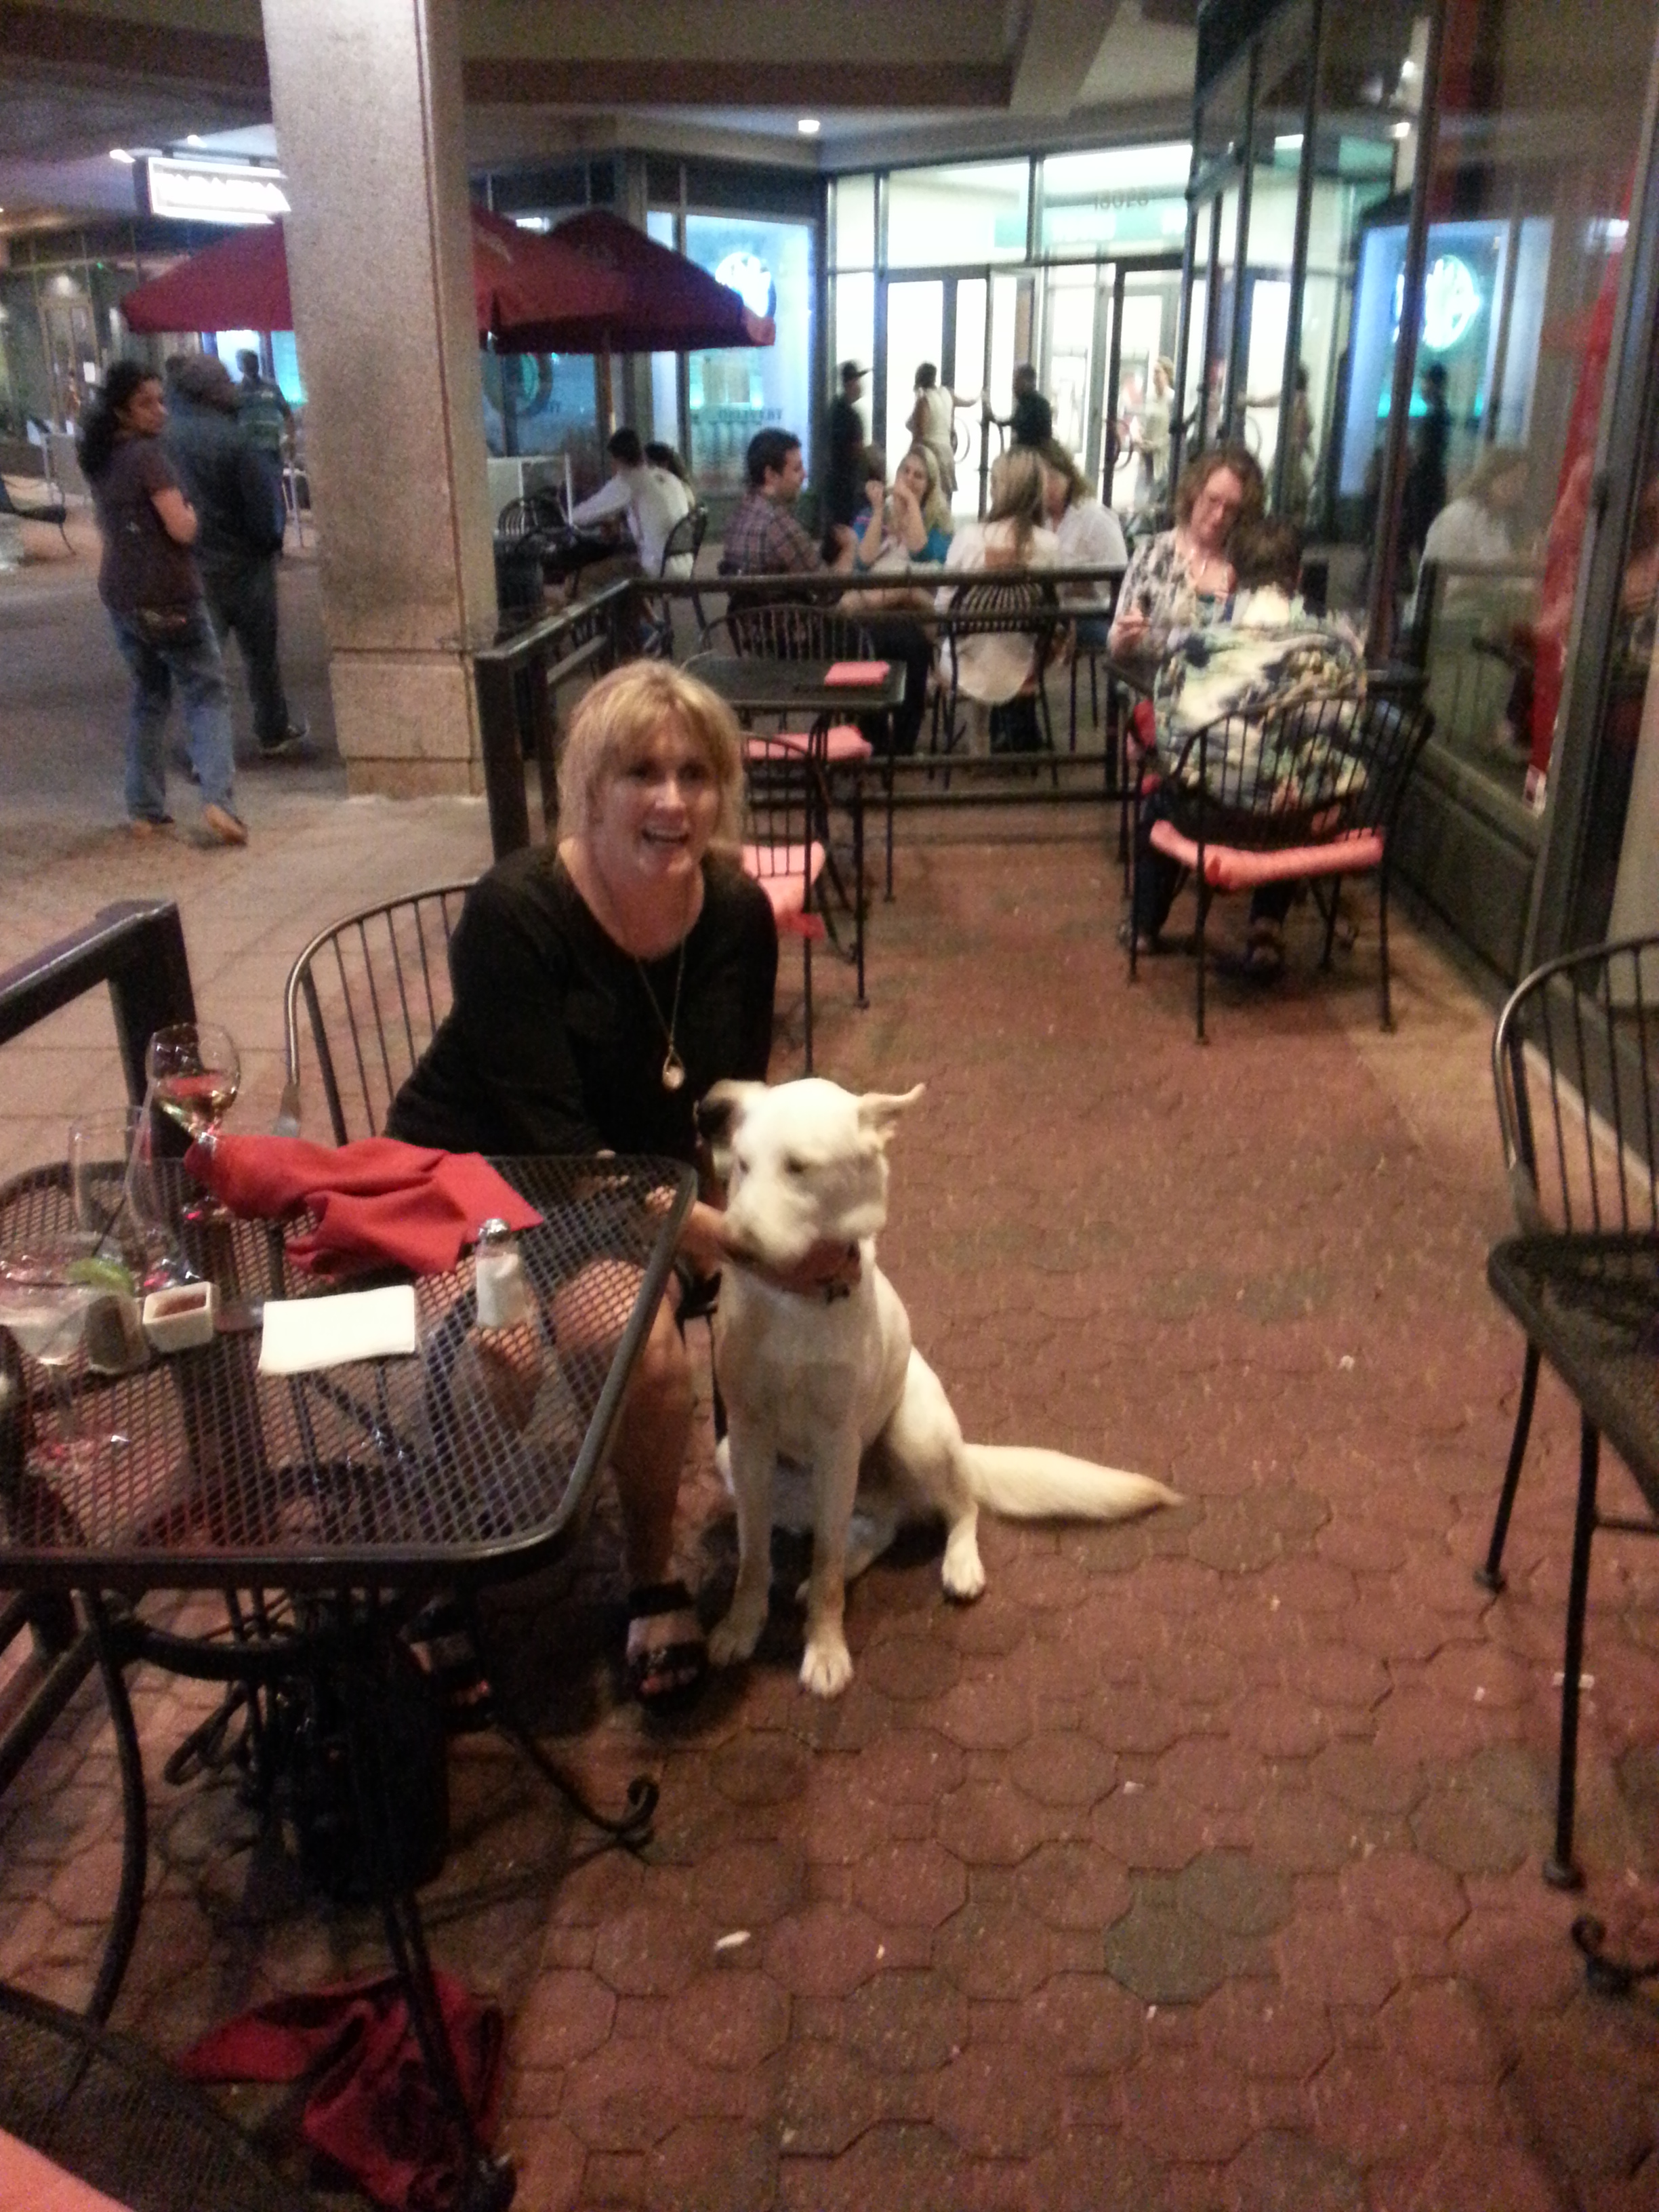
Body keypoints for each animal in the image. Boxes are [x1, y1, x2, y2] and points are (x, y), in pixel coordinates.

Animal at [695, 1077, 1181, 1697]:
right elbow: (754, 1558)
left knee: (957, 1507)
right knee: (873, 1527)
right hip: (742, 1459)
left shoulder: (837, 1442)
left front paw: (825, 1649)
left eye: (799, 1168)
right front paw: (741, 1627)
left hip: (911, 1435)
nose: (730, 1243)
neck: (794, 1299)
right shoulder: (750, 1436)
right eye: (742, 1166)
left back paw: (958, 1564)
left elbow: (825, 1566)